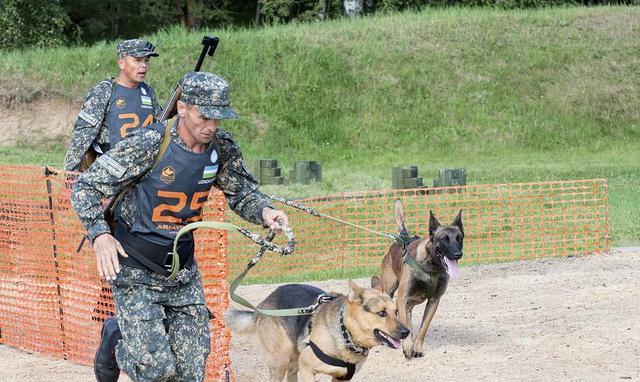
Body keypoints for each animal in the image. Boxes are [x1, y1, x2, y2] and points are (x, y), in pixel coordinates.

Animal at [225, 280, 410, 382]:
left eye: (396, 312)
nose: (406, 332)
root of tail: (263, 304)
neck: (345, 333)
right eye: (381, 313)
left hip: (293, 358)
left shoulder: (342, 378)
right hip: (280, 361)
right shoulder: (307, 368)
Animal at [370, 201, 464, 360]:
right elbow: (406, 326)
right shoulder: (402, 298)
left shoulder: (433, 301)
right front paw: (408, 347)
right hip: (390, 291)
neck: (431, 268)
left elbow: (423, 328)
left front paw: (417, 348)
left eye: (459, 238)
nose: (458, 254)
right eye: (444, 239)